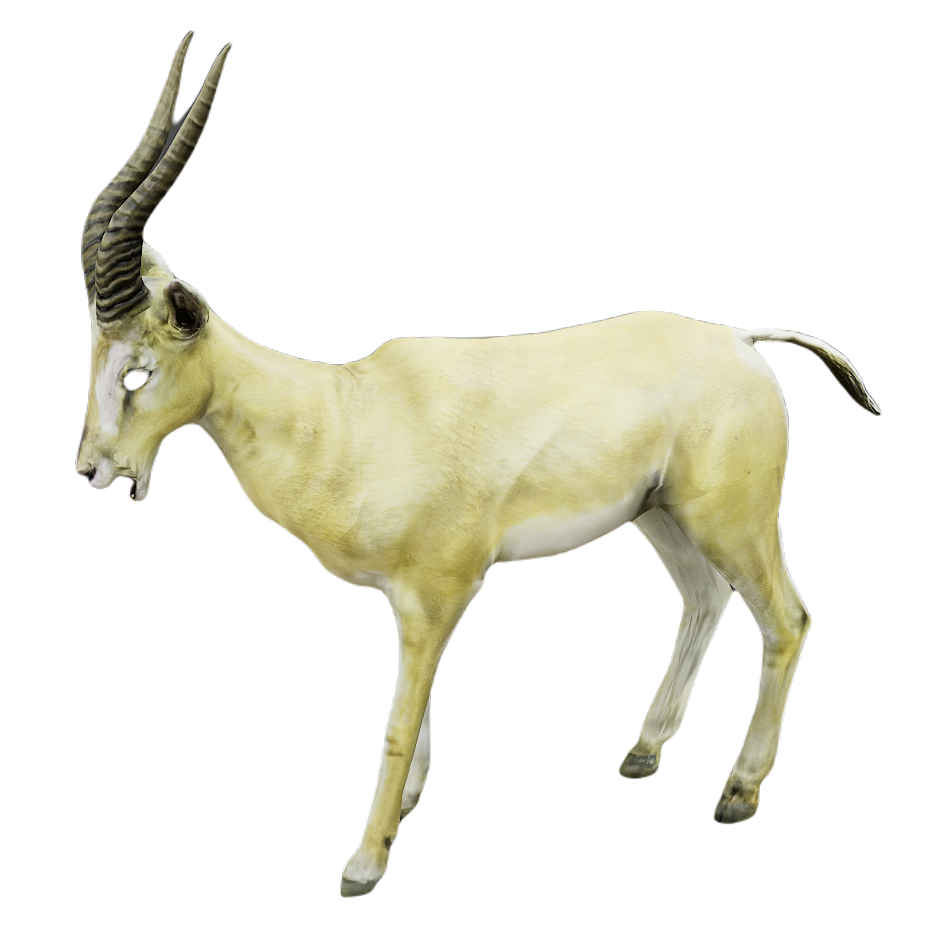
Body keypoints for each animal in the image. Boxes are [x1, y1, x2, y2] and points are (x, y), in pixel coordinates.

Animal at [76, 31, 881, 898]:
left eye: (137, 371)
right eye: (94, 357)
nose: (93, 470)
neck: (345, 418)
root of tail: (741, 340)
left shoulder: (440, 595)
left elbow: (397, 721)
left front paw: (365, 862)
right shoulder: (406, 602)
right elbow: (419, 709)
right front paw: (407, 809)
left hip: (733, 520)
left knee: (787, 619)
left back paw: (737, 792)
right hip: (662, 518)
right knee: (704, 600)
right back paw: (644, 751)